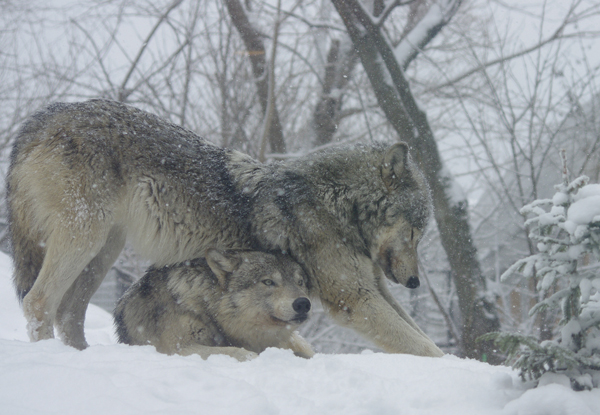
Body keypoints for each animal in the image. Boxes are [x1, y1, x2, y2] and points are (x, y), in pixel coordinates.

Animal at [113, 250, 314, 360]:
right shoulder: (177, 348)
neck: (205, 306)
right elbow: (240, 353)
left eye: (300, 282)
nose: (303, 303)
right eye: (268, 282)